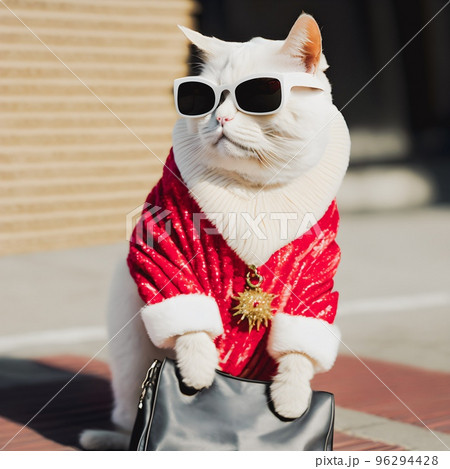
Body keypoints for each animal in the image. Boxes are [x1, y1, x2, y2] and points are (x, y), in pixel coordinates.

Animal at [80, 12, 348, 448]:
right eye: (204, 98)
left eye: (257, 95)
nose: (220, 117)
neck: (254, 191)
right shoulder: (165, 250)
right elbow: (191, 327)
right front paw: (198, 373)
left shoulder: (315, 278)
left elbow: (298, 353)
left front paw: (291, 399)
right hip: (131, 349)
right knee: (124, 417)